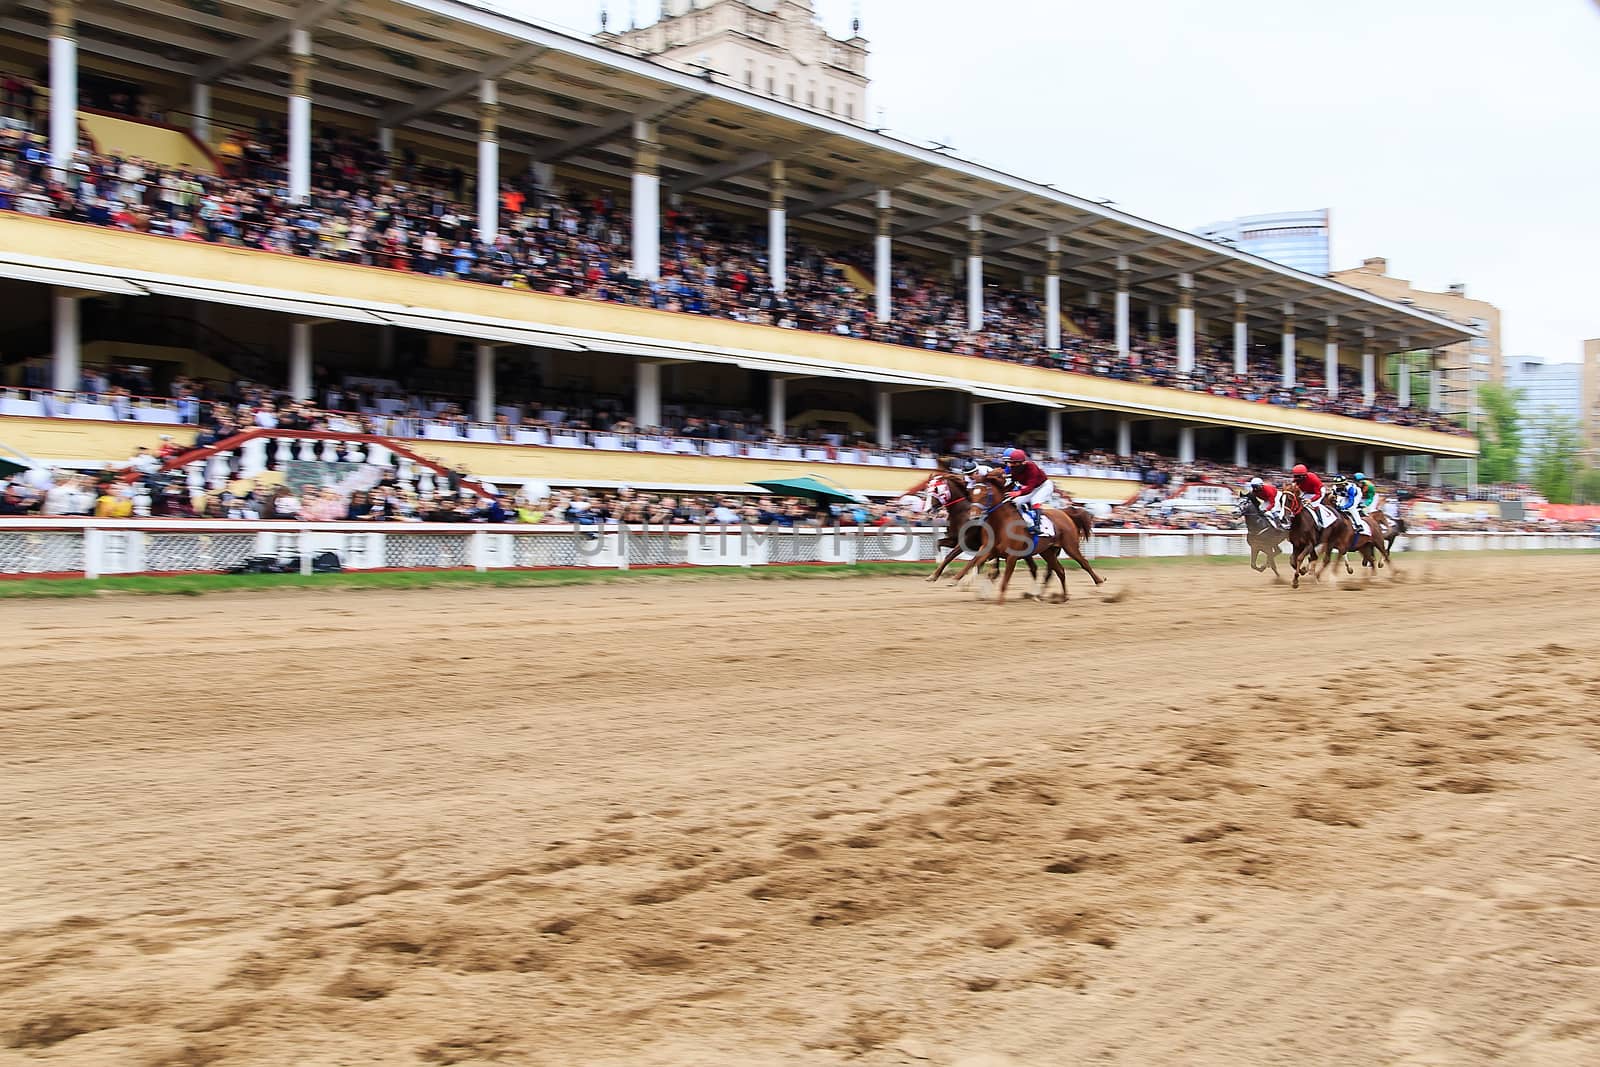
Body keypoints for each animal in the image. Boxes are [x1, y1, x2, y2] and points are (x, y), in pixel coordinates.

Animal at [940, 470, 1107, 604]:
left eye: (985, 494)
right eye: (971, 494)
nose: (973, 516)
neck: (1001, 523)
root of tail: (1065, 513)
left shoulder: (1012, 556)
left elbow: (1003, 577)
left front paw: (998, 601)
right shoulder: (988, 549)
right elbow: (972, 562)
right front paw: (955, 579)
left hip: (1070, 546)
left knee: (1083, 563)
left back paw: (1099, 584)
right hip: (1047, 551)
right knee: (1059, 570)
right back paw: (1062, 596)